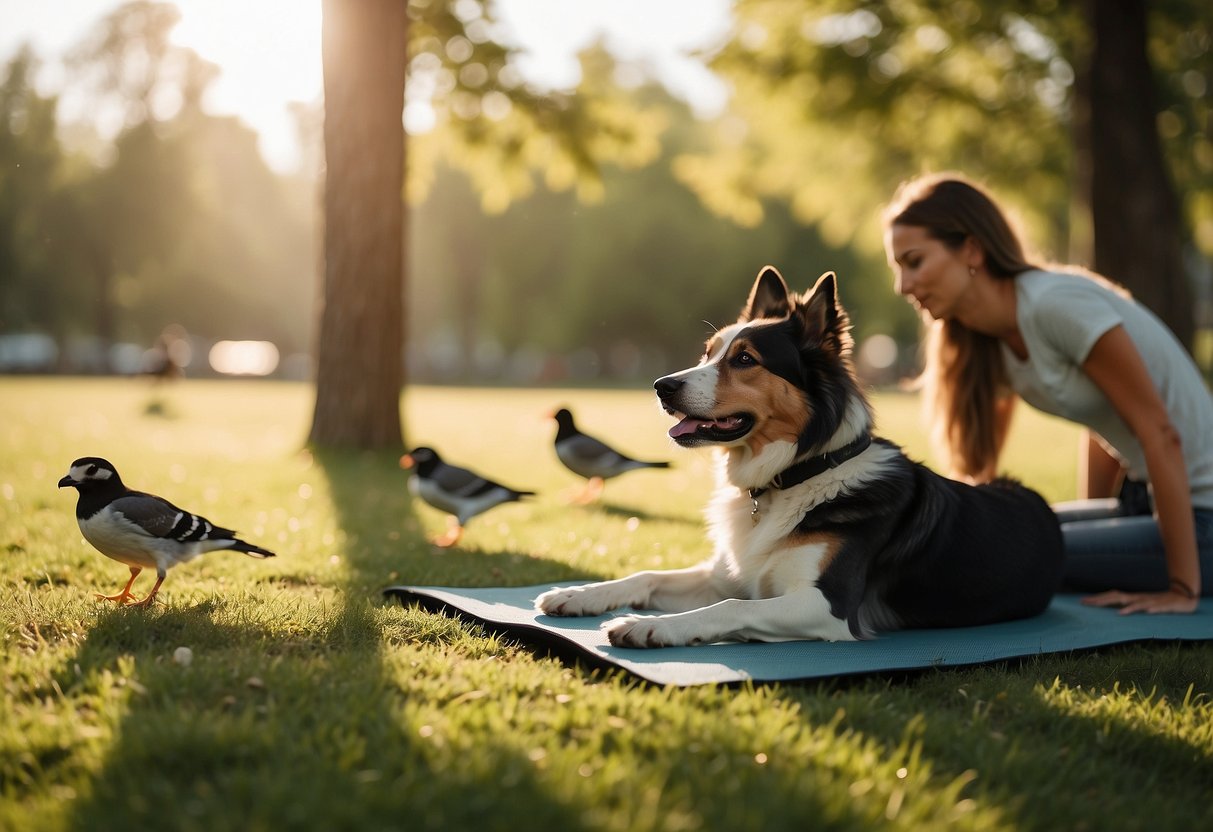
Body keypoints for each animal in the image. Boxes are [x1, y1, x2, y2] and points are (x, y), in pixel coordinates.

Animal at [536, 270, 1067, 650]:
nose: (661, 387)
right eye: (707, 354)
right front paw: (577, 595)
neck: (792, 477)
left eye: (745, 360)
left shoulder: (828, 606)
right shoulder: (728, 573)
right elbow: (647, 576)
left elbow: (731, 608)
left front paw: (649, 628)